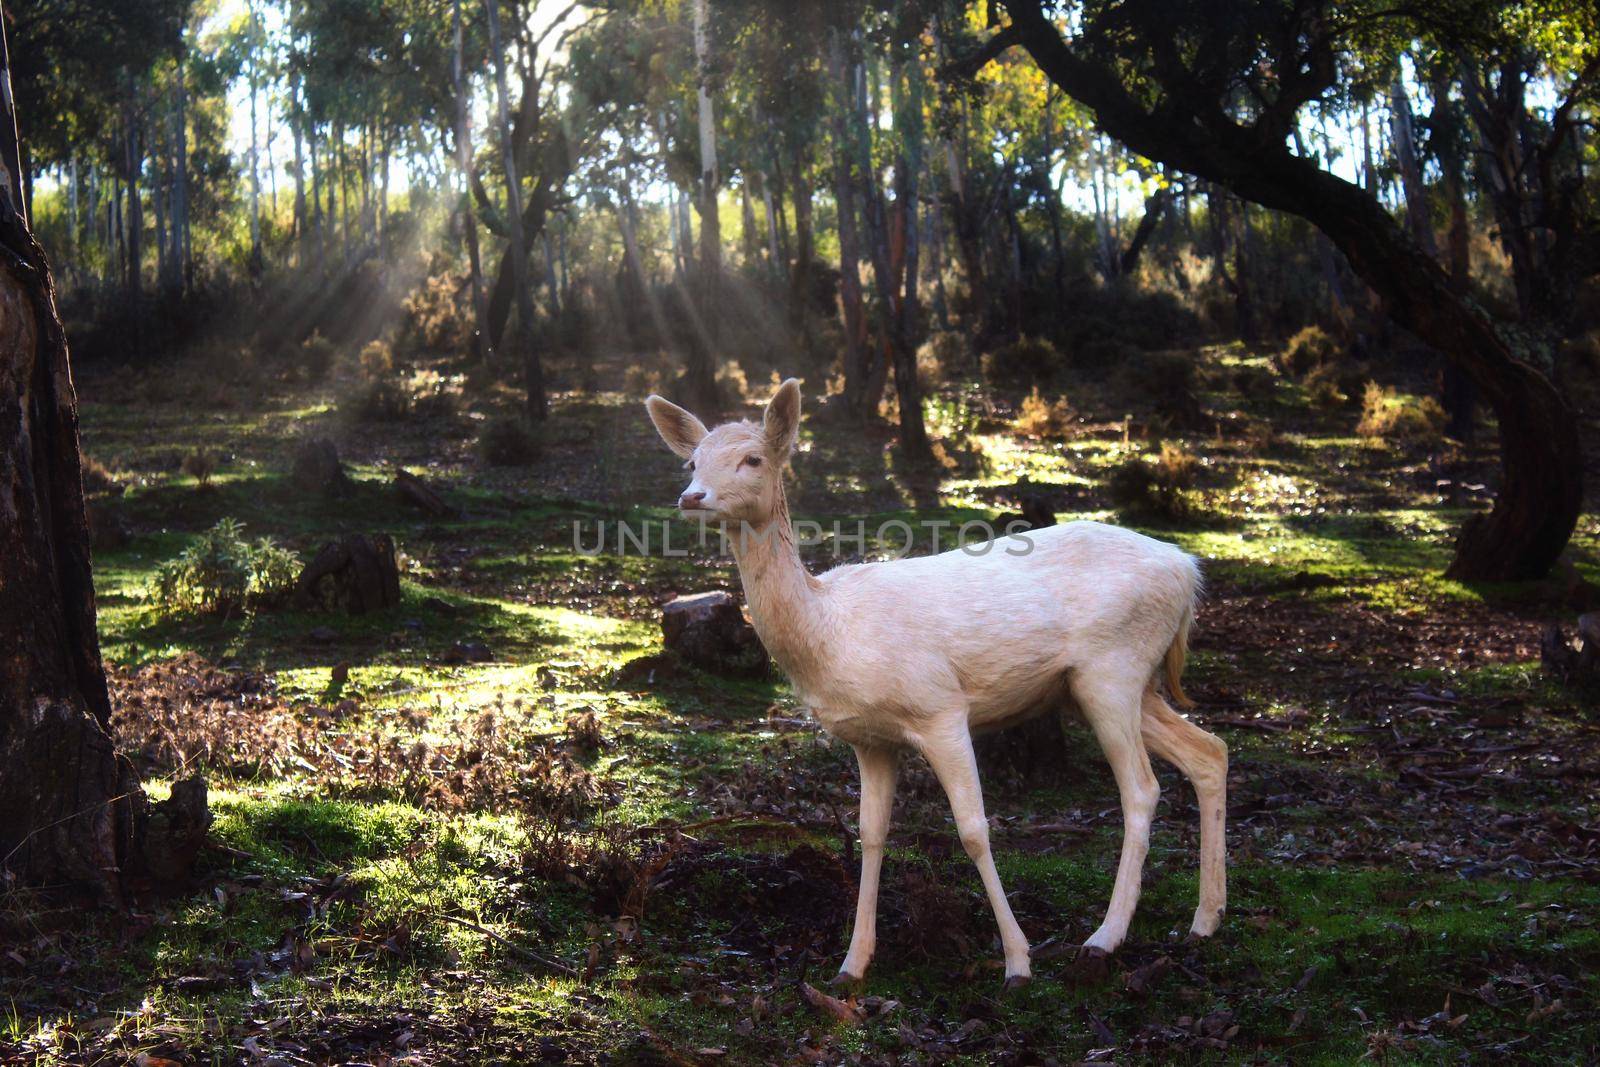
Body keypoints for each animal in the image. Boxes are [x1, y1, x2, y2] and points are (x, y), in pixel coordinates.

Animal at [643, 379, 1228, 991]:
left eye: (753, 458)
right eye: (691, 461)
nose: (691, 496)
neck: (832, 630)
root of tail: (1189, 570)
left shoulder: (940, 707)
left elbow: (973, 829)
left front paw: (1018, 962)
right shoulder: (871, 740)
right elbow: (872, 834)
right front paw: (852, 965)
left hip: (1112, 666)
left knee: (1142, 787)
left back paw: (1104, 938)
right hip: (1115, 683)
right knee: (1209, 750)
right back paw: (1205, 918)